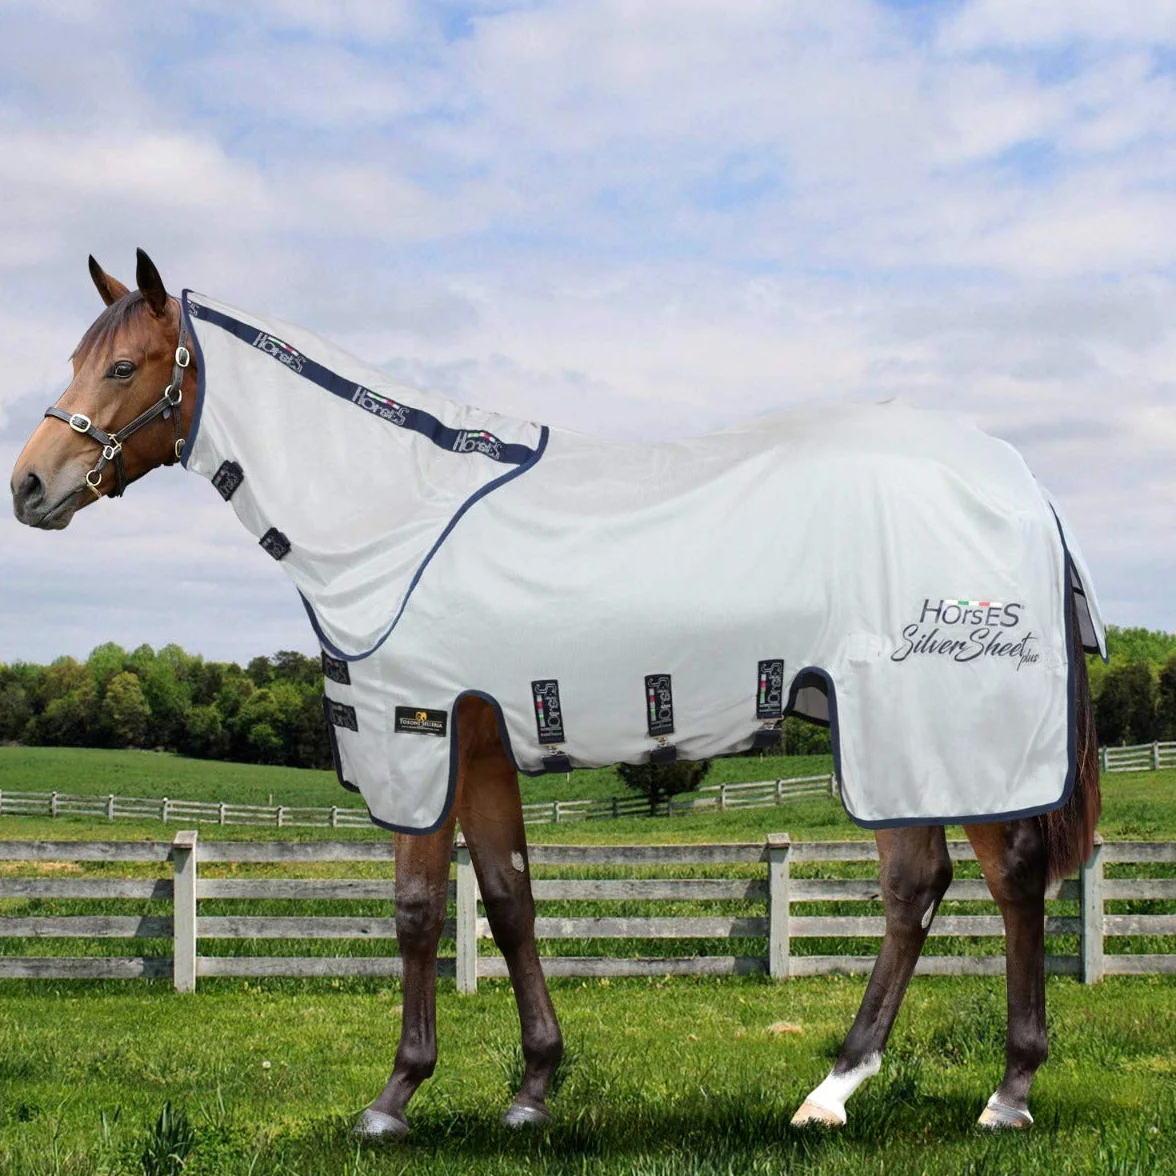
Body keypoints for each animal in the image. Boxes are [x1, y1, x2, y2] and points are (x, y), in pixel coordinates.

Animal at [10, 250, 1101, 1137]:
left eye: (123, 367)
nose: (28, 486)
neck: (392, 513)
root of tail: (1018, 481)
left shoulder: (418, 734)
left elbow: (416, 909)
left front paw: (392, 1101)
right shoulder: (484, 742)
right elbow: (507, 898)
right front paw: (531, 1089)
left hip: (934, 730)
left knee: (1001, 879)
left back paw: (1000, 1094)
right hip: (898, 743)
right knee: (922, 884)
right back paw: (838, 1091)